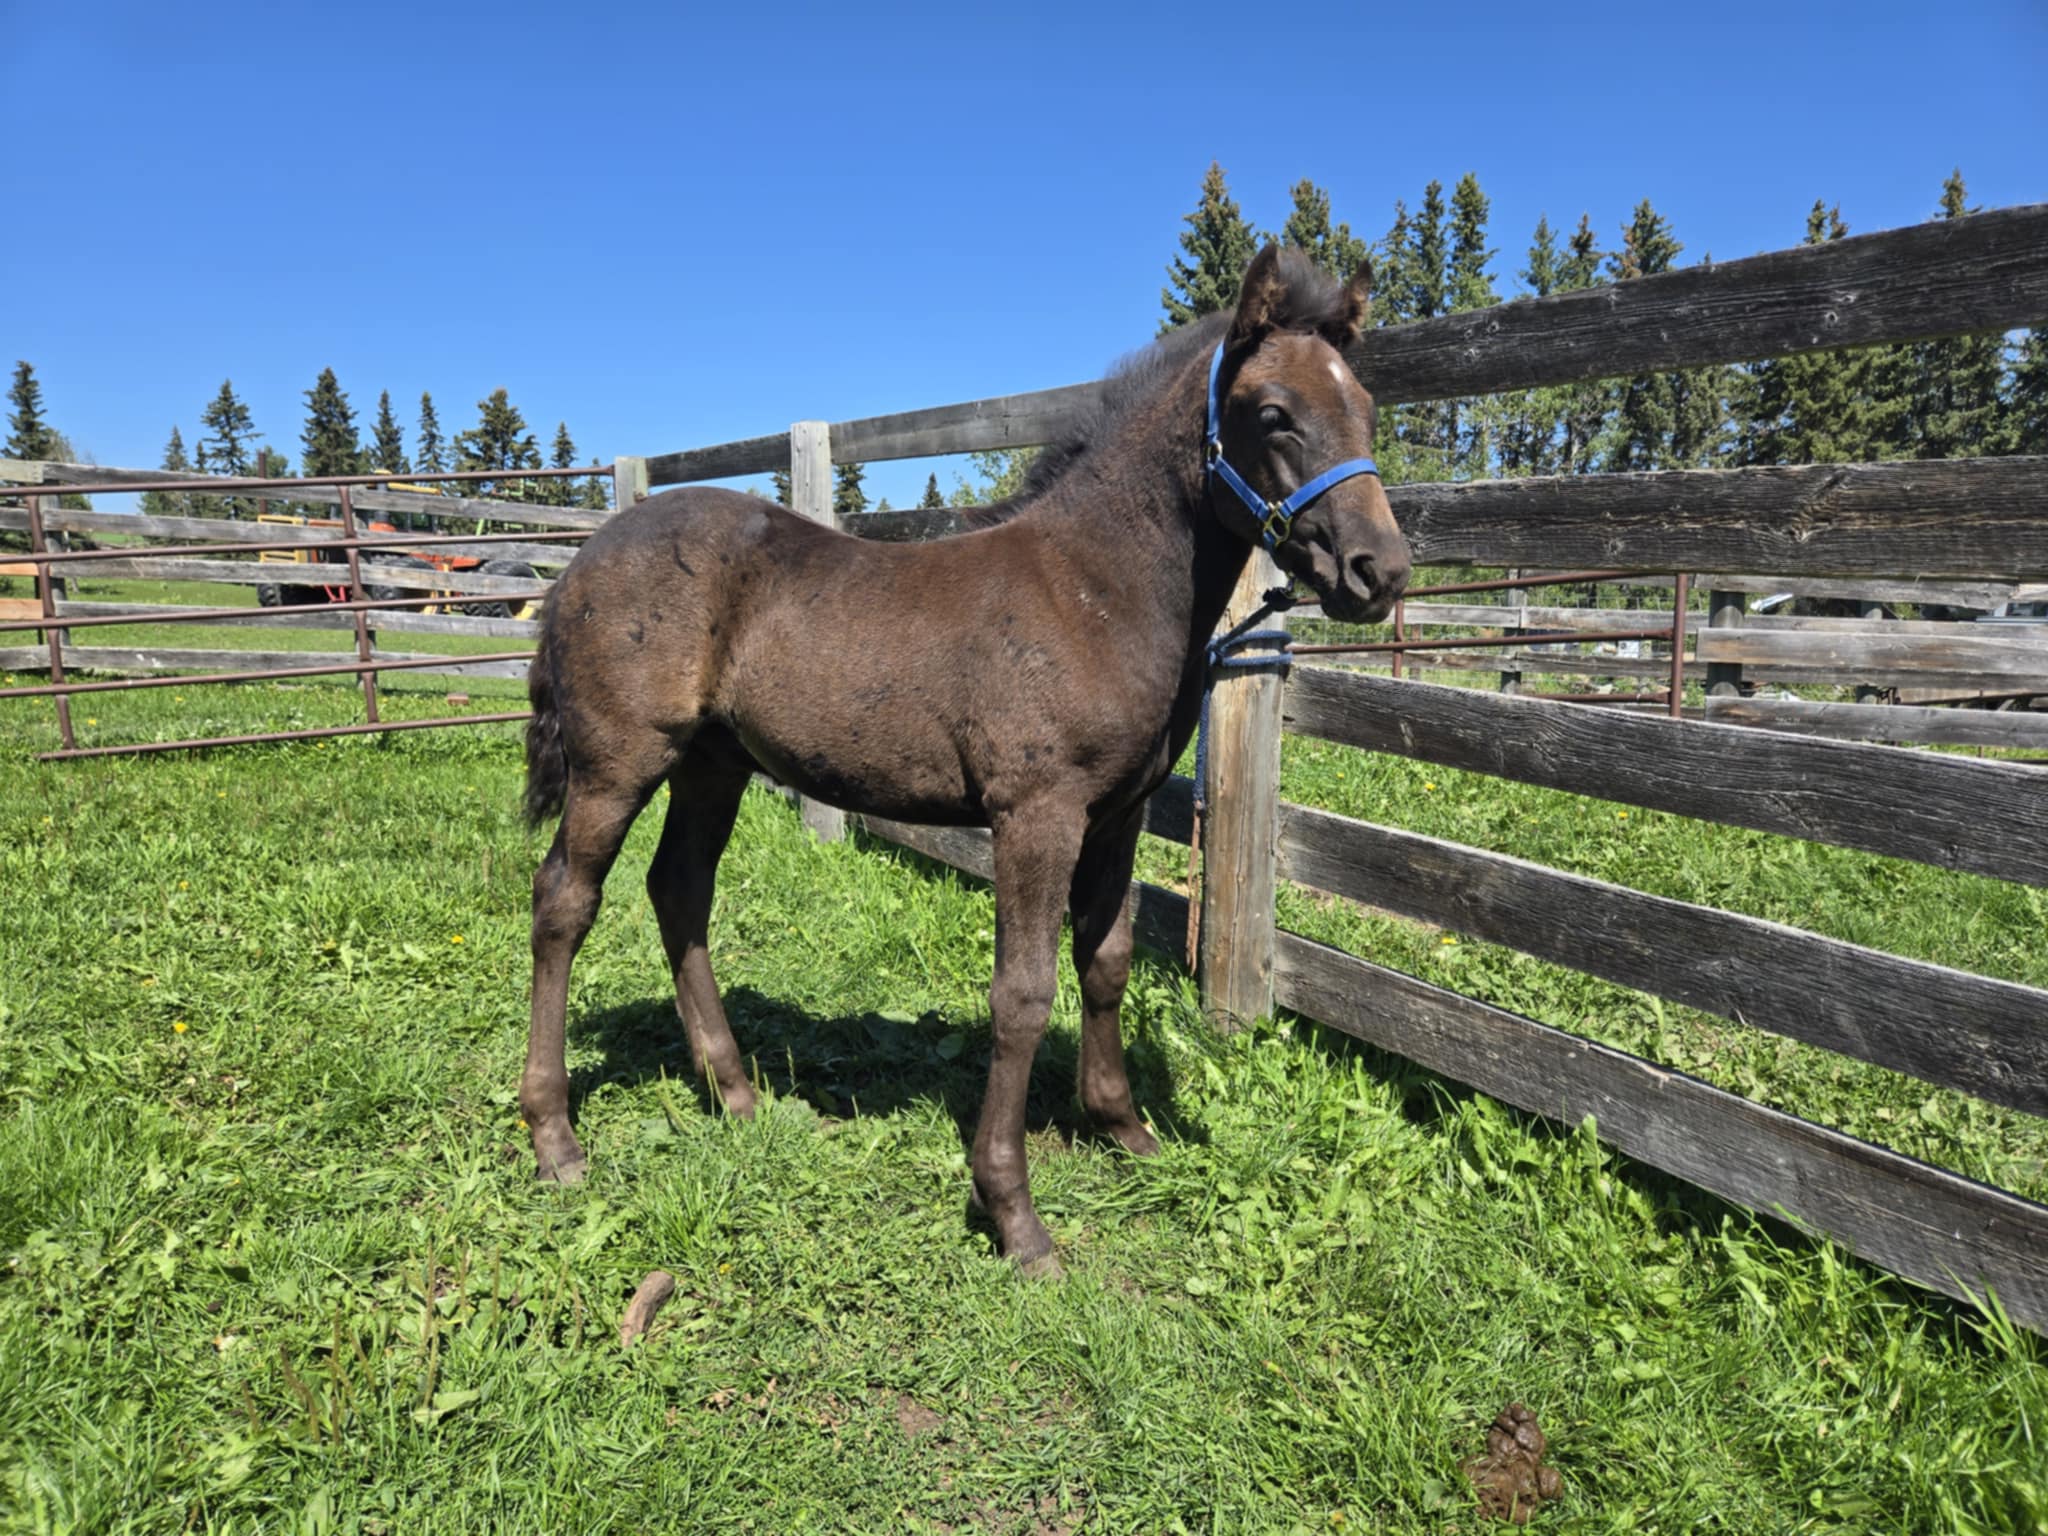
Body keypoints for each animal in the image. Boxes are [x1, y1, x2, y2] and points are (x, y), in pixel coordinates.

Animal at [519, 245, 1411, 1273]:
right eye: (1272, 413)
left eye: (1367, 407)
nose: (1380, 572)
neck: (1093, 590)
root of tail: (579, 564)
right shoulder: (1036, 815)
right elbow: (1021, 994)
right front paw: (1014, 1214)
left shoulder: (1115, 816)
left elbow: (1105, 961)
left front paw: (1123, 1129)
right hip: (620, 762)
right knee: (565, 901)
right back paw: (555, 1137)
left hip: (715, 763)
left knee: (679, 889)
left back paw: (738, 1095)